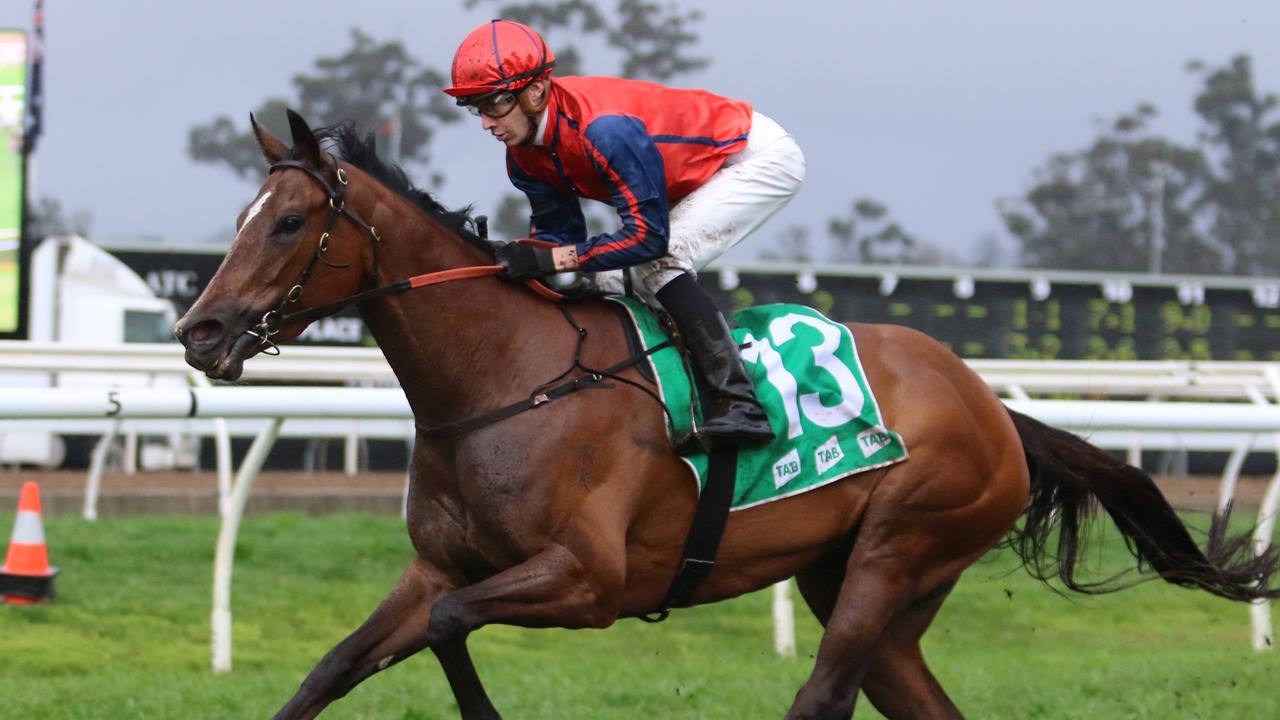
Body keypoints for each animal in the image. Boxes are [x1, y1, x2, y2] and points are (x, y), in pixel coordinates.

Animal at [172, 112, 1280, 717]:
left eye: (287, 221)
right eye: (240, 218)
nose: (198, 329)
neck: (502, 382)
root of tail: (993, 406)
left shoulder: (590, 580)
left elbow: (451, 629)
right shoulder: (440, 568)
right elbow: (331, 670)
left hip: (901, 546)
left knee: (822, 694)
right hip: (867, 583)